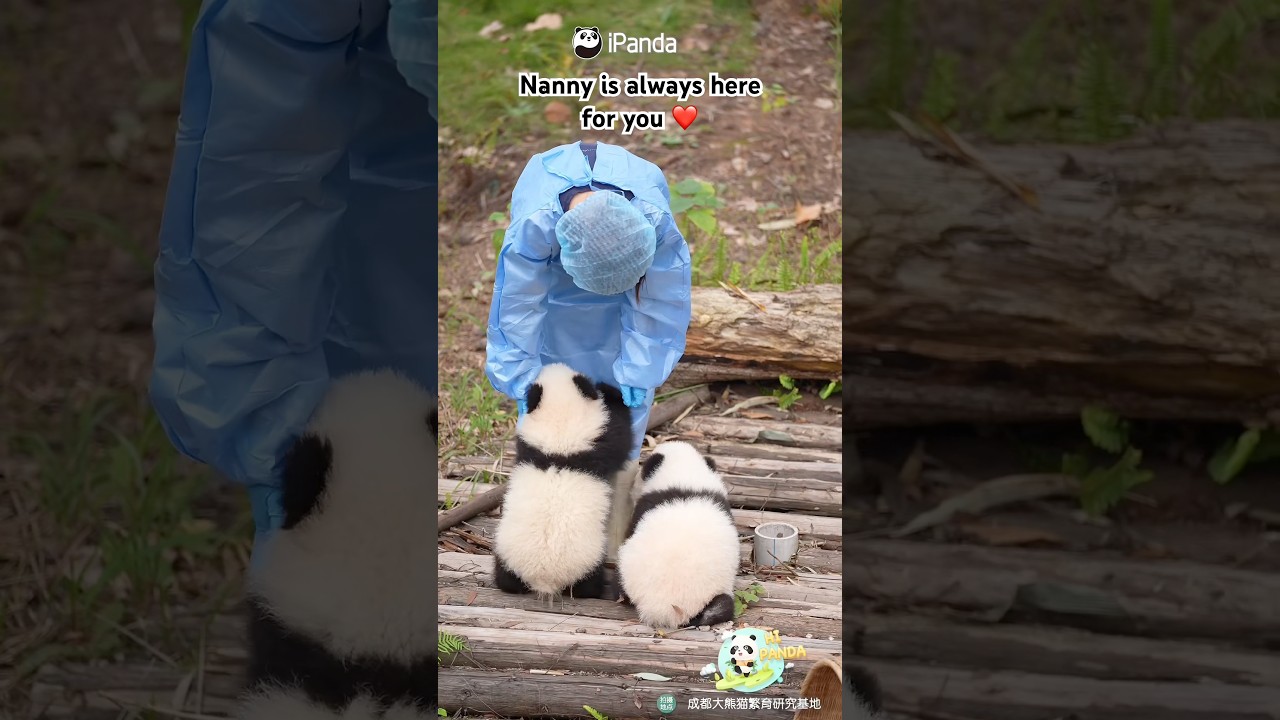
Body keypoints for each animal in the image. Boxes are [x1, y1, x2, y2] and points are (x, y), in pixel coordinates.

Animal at [492, 363, 632, 599]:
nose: (551, 364)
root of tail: (545, 580)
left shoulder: (528, 446)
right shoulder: (597, 445)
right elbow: (620, 435)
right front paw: (613, 392)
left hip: (506, 551)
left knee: (506, 577)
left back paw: (507, 584)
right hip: (587, 559)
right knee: (587, 585)